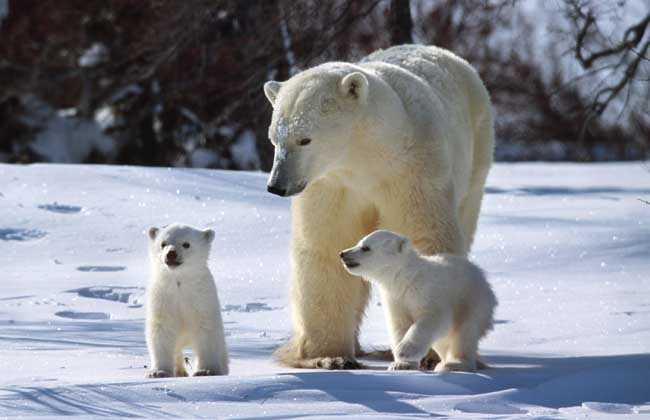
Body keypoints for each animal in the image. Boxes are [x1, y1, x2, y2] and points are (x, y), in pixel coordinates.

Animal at [144, 223, 228, 378]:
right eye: (163, 243)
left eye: (186, 244)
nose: (171, 253)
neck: (180, 282)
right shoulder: (163, 297)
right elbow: (161, 329)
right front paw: (158, 372)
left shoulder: (201, 298)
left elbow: (206, 329)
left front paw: (206, 370)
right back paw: (179, 371)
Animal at [340, 231, 496, 372]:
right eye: (359, 242)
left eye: (366, 247)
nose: (343, 253)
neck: (406, 277)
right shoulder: (395, 299)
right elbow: (400, 325)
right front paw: (401, 364)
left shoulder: (428, 292)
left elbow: (433, 318)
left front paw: (404, 350)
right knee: (443, 341)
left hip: (472, 300)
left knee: (464, 333)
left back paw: (454, 364)